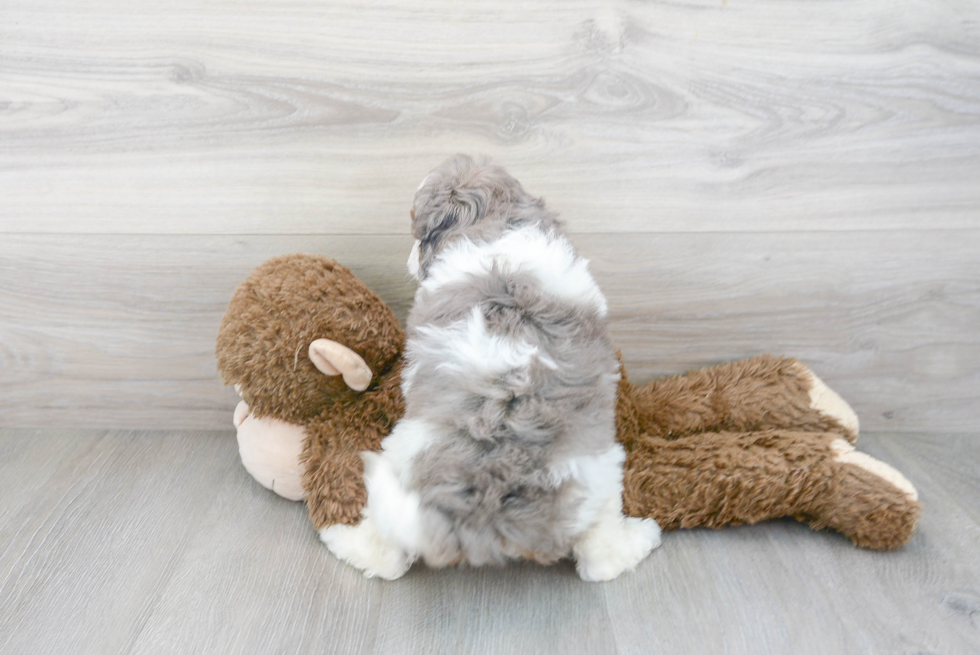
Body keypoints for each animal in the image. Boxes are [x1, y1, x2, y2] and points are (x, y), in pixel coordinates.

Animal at [326, 156, 664, 580]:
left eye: (417, 230)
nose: (410, 257)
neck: (500, 222)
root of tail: (491, 491)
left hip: (401, 459)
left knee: (388, 555)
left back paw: (345, 541)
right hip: (602, 474)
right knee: (601, 558)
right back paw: (641, 537)